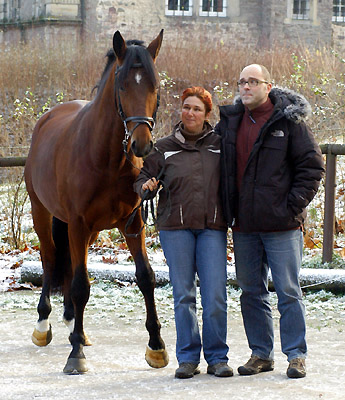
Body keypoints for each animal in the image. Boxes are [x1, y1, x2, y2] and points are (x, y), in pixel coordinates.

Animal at [23, 29, 168, 374]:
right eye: (122, 85)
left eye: (155, 85)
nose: (142, 144)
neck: (106, 158)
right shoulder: (76, 223)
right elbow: (79, 285)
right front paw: (75, 355)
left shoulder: (132, 223)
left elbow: (146, 277)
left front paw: (156, 346)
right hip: (41, 213)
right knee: (50, 259)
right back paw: (44, 325)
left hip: (88, 231)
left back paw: (75, 326)